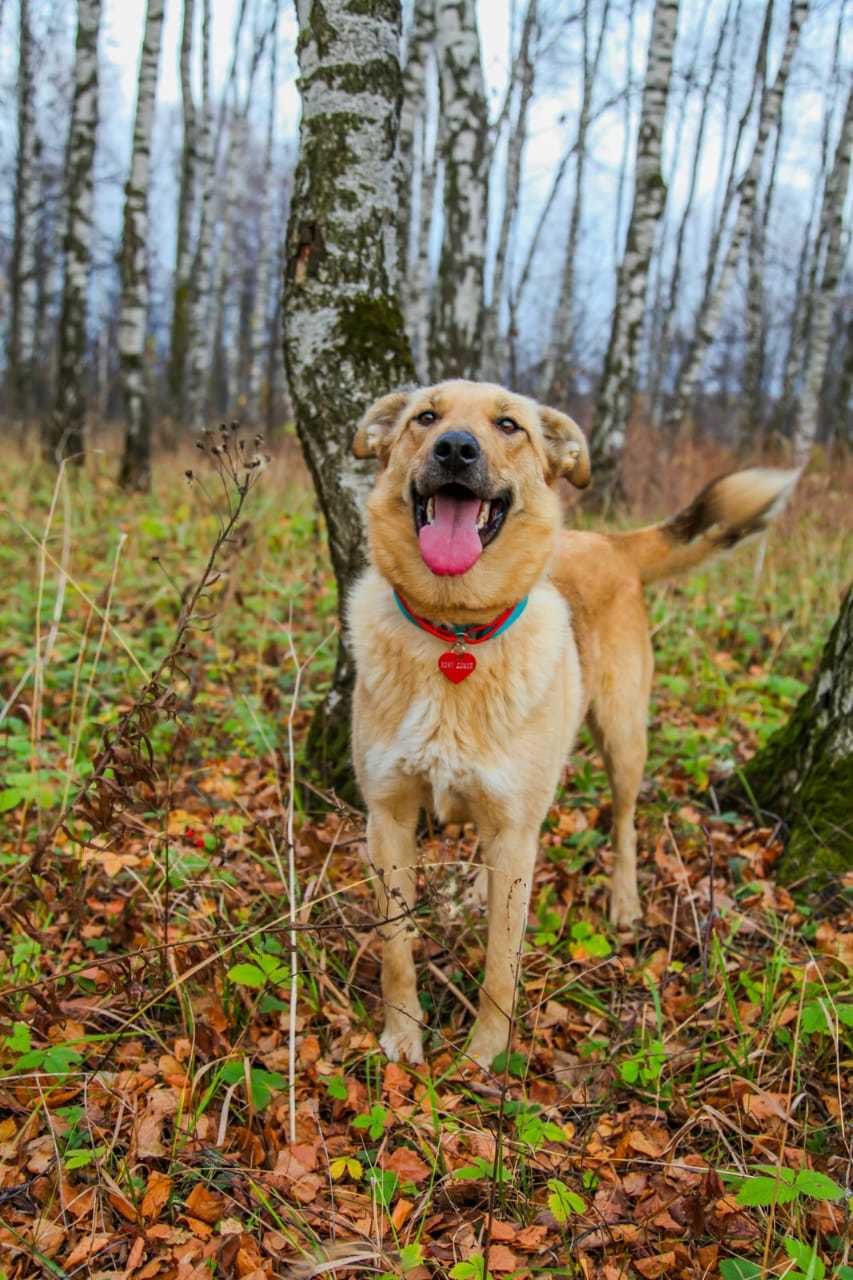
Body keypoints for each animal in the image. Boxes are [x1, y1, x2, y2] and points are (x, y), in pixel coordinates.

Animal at [343, 378, 788, 1070]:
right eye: (426, 416)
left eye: (508, 426)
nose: (455, 449)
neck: (456, 634)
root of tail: (609, 542)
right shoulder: (388, 818)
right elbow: (396, 948)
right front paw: (403, 1036)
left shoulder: (511, 830)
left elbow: (502, 962)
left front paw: (484, 1057)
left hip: (623, 738)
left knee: (624, 820)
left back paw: (624, 901)